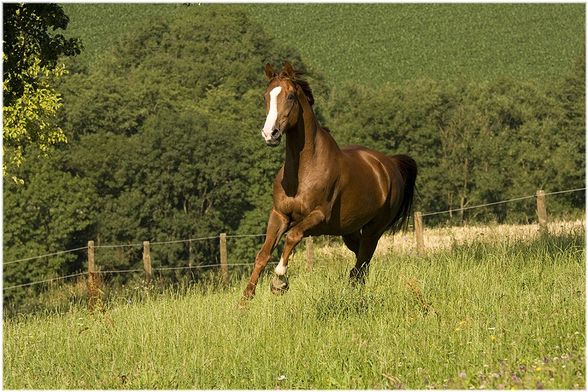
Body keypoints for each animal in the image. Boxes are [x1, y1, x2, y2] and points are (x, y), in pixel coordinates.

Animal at [241, 62, 416, 300]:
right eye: (266, 96)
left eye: (291, 96)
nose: (270, 134)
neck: (303, 172)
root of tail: (389, 164)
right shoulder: (279, 215)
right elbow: (263, 254)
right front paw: (245, 300)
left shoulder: (318, 218)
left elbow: (292, 237)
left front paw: (279, 281)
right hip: (350, 231)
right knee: (361, 265)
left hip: (374, 230)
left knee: (361, 265)